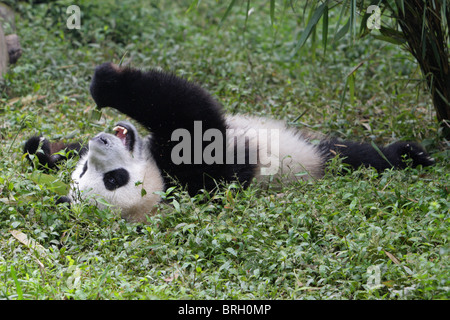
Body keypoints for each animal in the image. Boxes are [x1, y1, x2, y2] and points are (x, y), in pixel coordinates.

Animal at [22, 62, 434, 222]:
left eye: (89, 171)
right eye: (114, 180)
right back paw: (409, 155)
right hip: (318, 162)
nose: (100, 143)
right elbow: (192, 116)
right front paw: (111, 82)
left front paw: (41, 150)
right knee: (359, 158)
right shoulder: (200, 172)